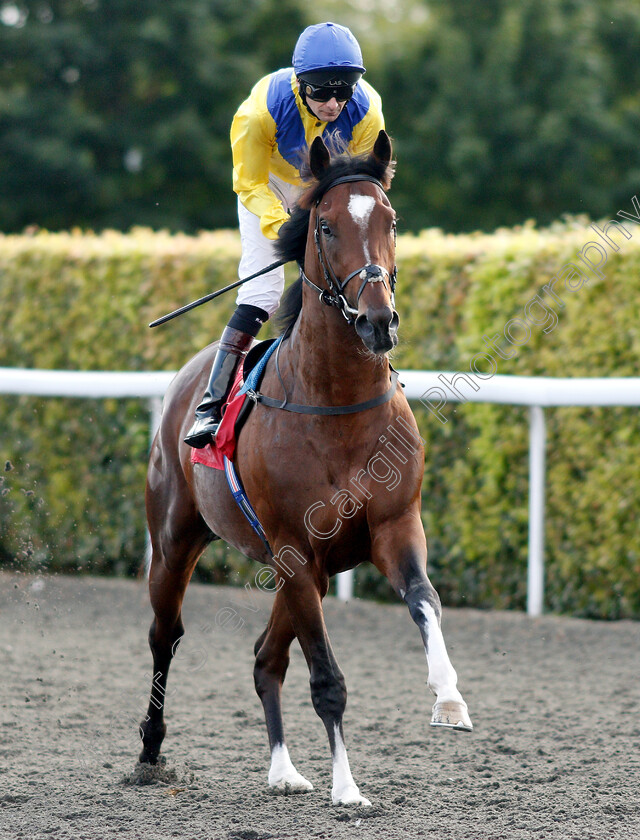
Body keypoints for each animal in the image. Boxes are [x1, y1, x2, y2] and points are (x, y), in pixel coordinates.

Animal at [140, 131, 470, 808]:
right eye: (324, 226)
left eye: (391, 220)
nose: (377, 319)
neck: (336, 404)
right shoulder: (294, 545)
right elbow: (327, 679)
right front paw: (347, 787)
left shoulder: (393, 526)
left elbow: (425, 599)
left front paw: (449, 697)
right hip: (179, 540)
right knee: (166, 635)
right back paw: (150, 752)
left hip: (303, 573)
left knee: (266, 657)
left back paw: (283, 769)